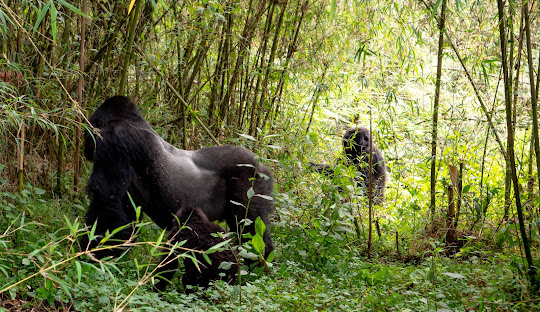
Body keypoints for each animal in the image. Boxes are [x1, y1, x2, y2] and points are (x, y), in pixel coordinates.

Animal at [83, 95, 274, 258]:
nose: (86, 147)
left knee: (250, 228)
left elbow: (106, 204)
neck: (126, 120)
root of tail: (261, 164)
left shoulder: (114, 141)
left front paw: (94, 254)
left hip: (251, 179)